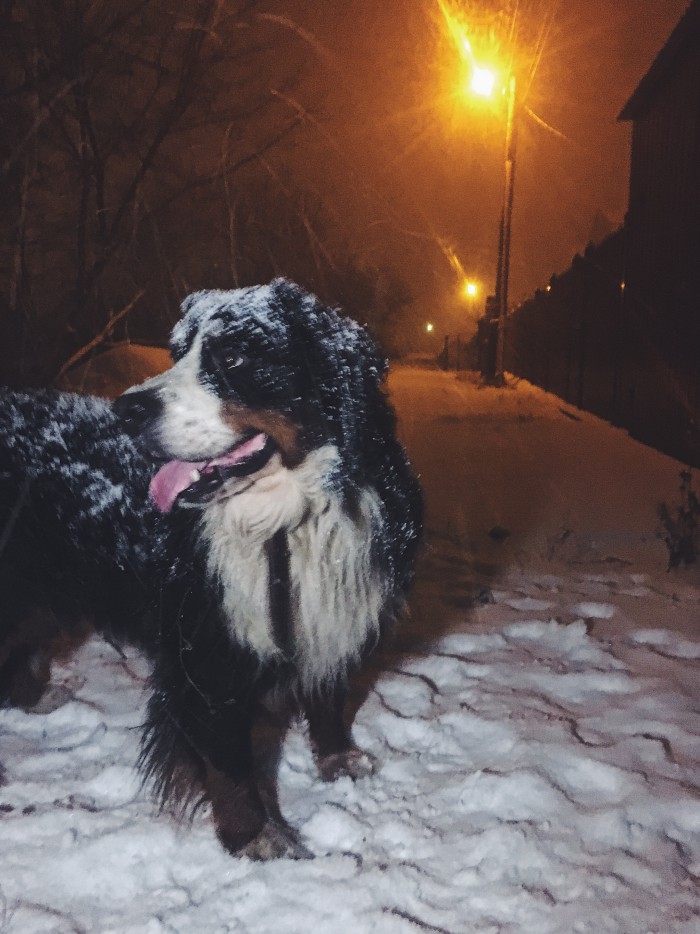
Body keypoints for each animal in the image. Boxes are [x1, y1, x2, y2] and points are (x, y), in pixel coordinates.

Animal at [0, 280, 422, 864]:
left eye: (234, 358)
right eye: (177, 352)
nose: (127, 410)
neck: (284, 522)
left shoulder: (336, 611)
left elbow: (328, 697)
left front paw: (339, 758)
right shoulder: (205, 647)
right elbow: (228, 762)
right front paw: (255, 837)